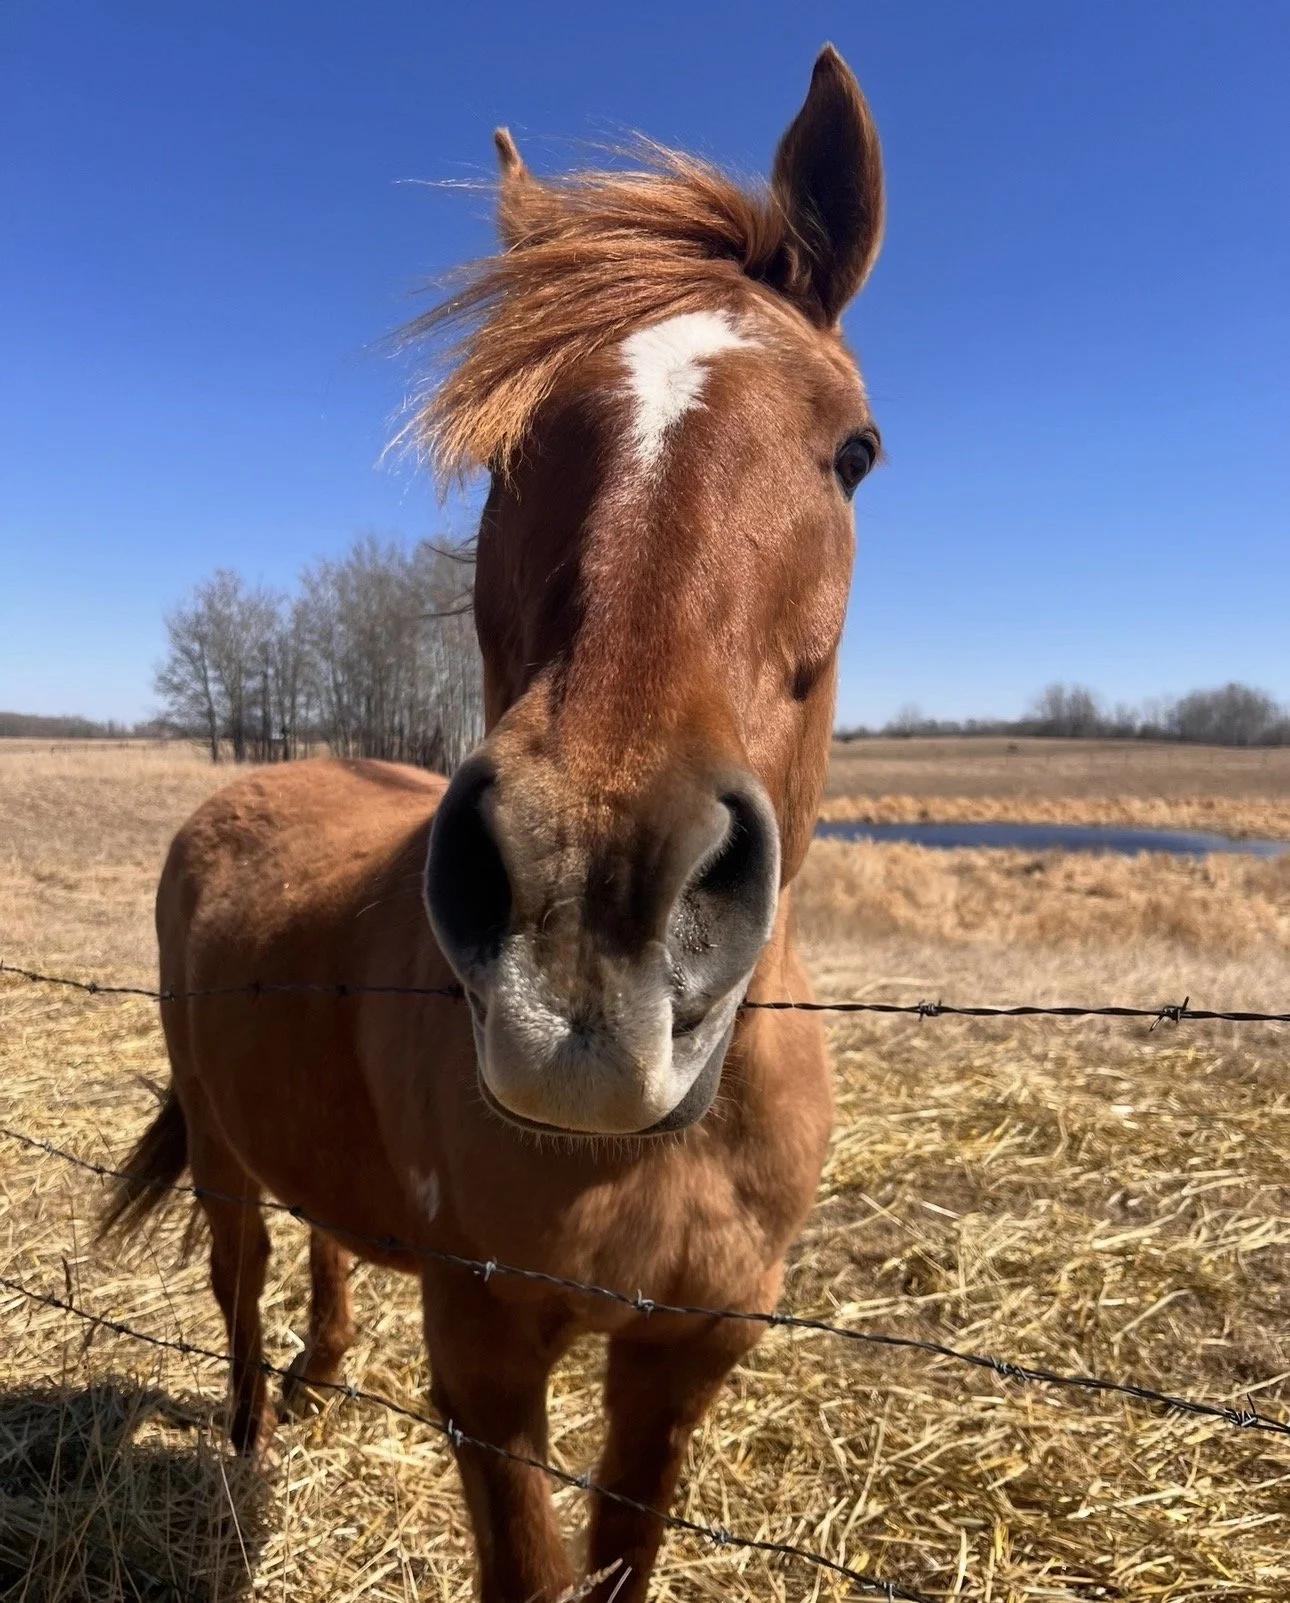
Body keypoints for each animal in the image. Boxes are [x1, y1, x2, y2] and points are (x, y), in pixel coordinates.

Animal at [103, 45, 885, 1602]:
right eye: (502, 455)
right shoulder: (486, 1352)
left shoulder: (683, 1357)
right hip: (219, 1148)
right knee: (237, 1279)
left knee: (324, 1244)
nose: (591, 903)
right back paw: (251, 1437)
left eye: (854, 450)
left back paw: (323, 1373)